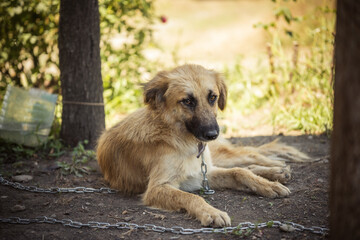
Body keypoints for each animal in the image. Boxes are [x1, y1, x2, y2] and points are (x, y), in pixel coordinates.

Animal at [96, 63, 310, 227]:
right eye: (187, 101)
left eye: (212, 97)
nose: (212, 134)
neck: (180, 139)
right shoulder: (162, 186)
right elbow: (192, 196)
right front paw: (212, 212)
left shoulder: (202, 172)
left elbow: (239, 173)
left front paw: (267, 186)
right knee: (245, 162)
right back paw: (277, 171)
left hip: (220, 155)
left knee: (248, 157)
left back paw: (276, 171)